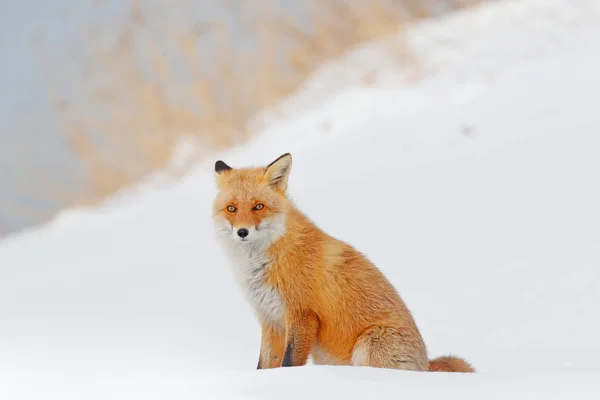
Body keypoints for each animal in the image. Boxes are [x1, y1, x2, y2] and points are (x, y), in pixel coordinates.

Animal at [212, 152, 474, 372]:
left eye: (258, 206)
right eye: (231, 209)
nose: (242, 232)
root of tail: (425, 367)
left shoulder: (302, 316)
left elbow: (289, 364)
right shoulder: (271, 320)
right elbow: (264, 366)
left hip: (368, 346)